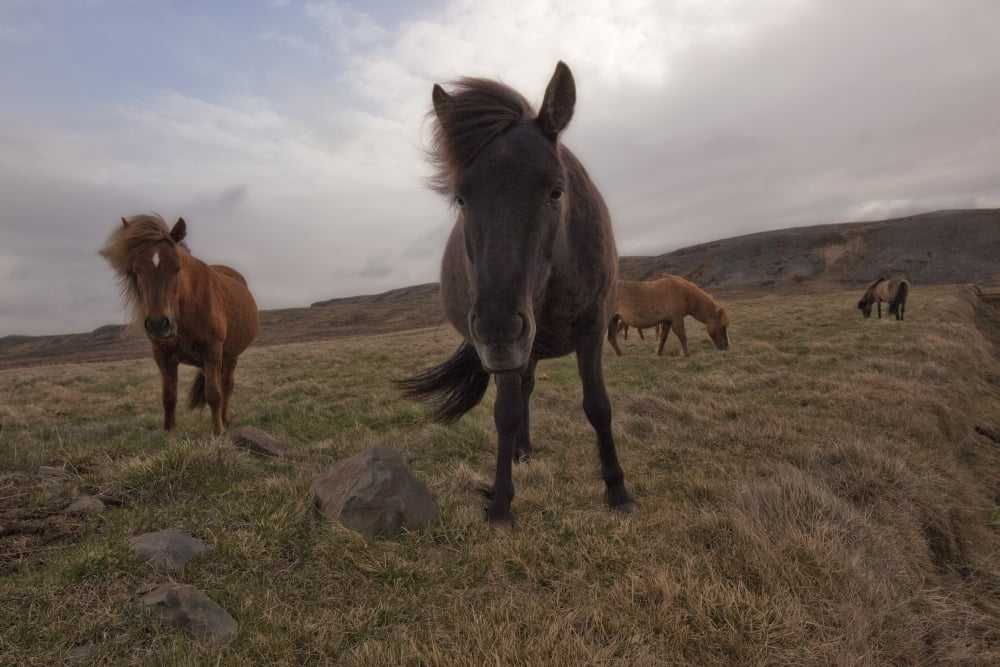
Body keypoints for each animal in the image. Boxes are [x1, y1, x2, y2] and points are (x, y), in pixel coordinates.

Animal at [99, 214, 259, 434]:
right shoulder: (162, 356)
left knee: (226, 387)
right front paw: (169, 432)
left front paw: (218, 432)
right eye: (136, 270)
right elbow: (169, 397)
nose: (158, 324)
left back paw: (225, 420)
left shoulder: (212, 350)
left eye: (176, 267)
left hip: (230, 356)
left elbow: (213, 395)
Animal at [396, 62, 634, 526]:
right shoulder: (508, 351)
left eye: (556, 190)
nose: (498, 332)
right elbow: (506, 413)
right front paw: (501, 502)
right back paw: (521, 452)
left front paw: (617, 490)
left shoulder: (592, 326)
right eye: (461, 198)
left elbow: (598, 405)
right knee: (522, 394)